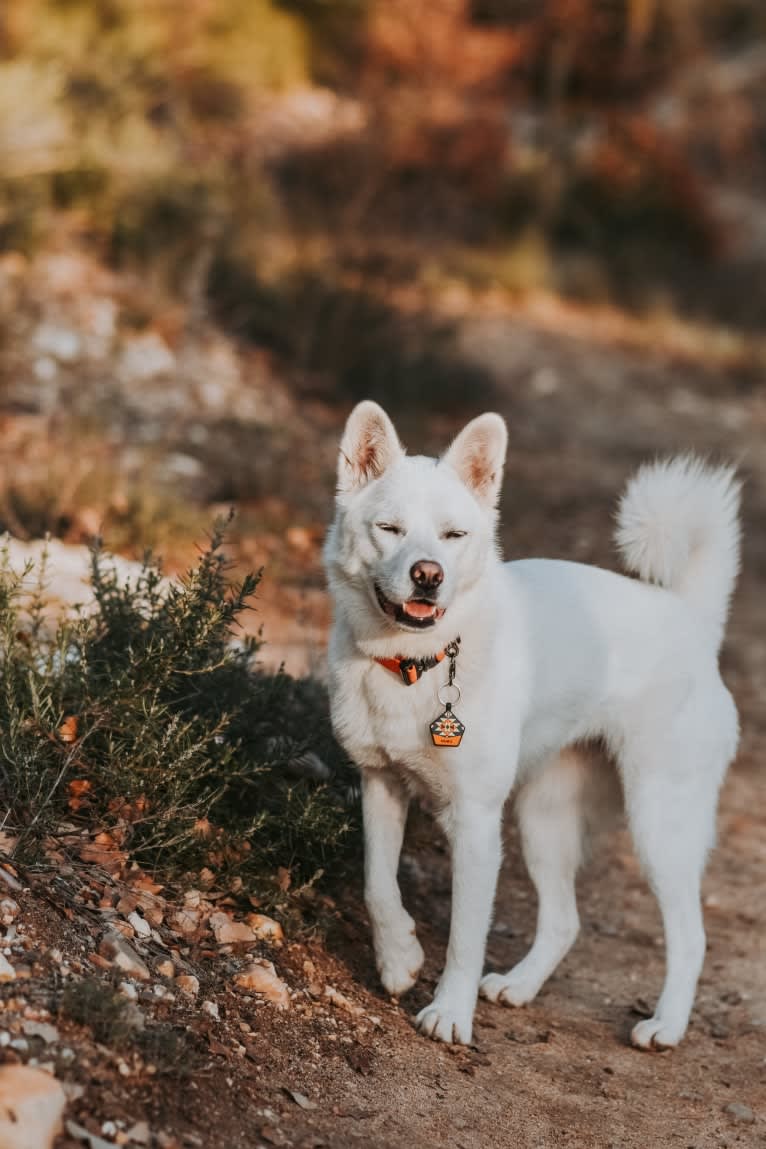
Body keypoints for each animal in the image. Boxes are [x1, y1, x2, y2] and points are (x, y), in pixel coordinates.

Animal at [321, 402, 734, 1052]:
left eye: (453, 536)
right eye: (389, 529)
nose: (428, 575)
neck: (416, 665)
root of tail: (693, 620)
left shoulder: (474, 822)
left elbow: (465, 937)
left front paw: (449, 1014)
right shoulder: (379, 785)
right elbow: (377, 884)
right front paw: (399, 959)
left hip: (659, 823)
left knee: (691, 936)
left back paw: (665, 1026)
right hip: (544, 820)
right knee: (565, 921)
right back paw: (519, 985)